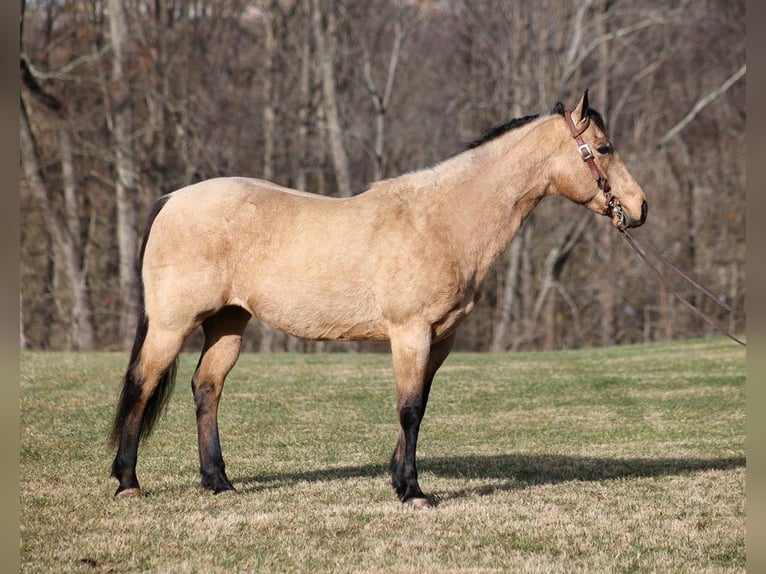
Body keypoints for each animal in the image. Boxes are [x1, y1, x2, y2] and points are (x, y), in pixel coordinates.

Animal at [108, 90, 648, 508]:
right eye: (603, 147)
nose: (640, 208)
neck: (442, 219)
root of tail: (172, 200)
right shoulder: (410, 333)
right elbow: (409, 409)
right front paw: (412, 491)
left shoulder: (440, 339)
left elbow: (420, 404)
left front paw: (397, 477)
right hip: (172, 325)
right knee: (141, 384)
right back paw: (128, 482)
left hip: (228, 322)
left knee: (207, 388)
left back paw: (218, 482)